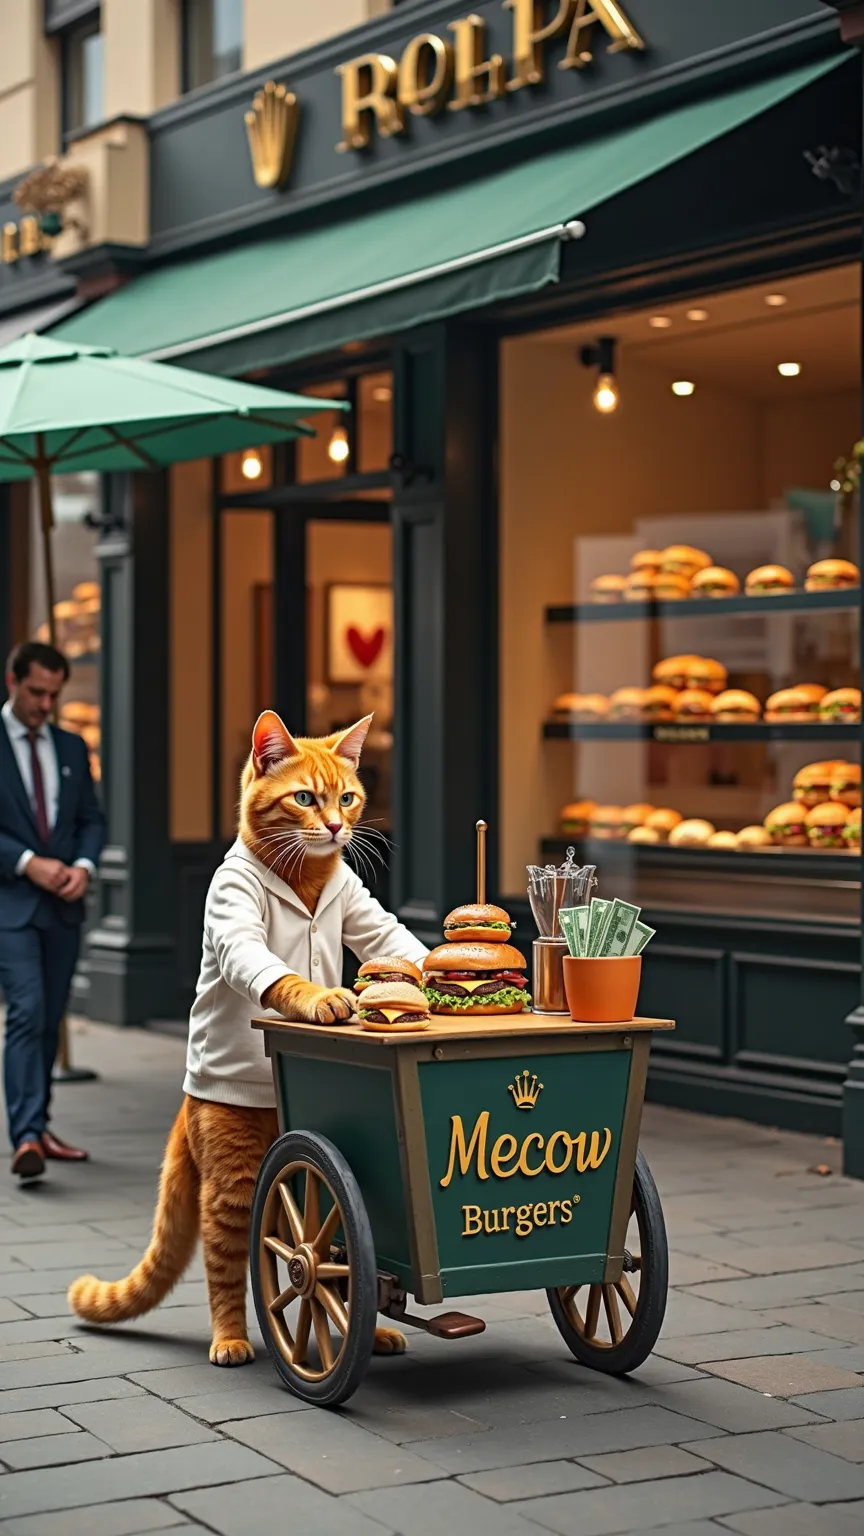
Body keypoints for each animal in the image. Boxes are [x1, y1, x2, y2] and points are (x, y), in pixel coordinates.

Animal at [69, 715, 415, 1370]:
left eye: (347, 798)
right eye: (305, 798)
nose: (337, 827)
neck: (306, 876)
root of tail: (185, 1106)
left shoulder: (364, 908)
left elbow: (398, 941)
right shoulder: (233, 908)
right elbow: (273, 971)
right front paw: (321, 997)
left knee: (336, 1266)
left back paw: (367, 1333)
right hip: (232, 1178)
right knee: (235, 1268)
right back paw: (231, 1338)